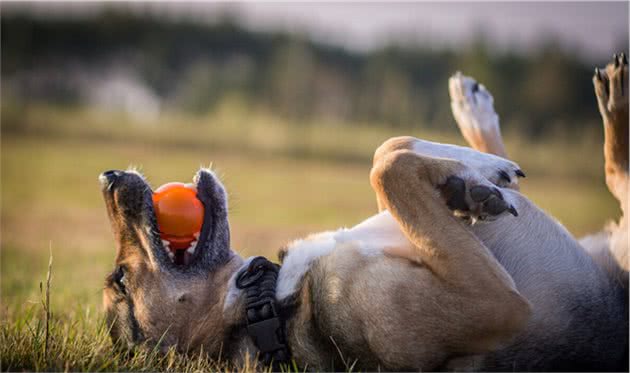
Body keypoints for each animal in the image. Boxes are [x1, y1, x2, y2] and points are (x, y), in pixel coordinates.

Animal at [101, 53, 628, 370]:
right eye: (121, 282)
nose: (108, 177)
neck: (268, 304)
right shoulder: (496, 305)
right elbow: (387, 160)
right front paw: (477, 175)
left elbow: (389, 154)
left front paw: (467, 183)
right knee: (617, 176)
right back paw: (613, 99)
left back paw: (474, 125)